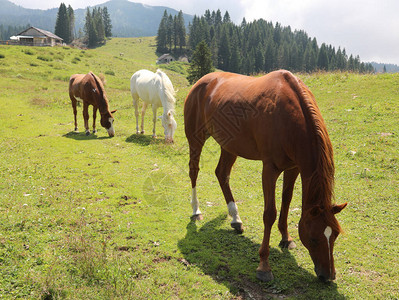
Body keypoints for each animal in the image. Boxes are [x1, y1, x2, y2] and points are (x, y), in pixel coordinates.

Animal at [186, 71, 348, 284]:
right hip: (196, 139)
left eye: (335, 235)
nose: (328, 275)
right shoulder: (270, 169)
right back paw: (196, 210)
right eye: (313, 238)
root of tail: (203, 80)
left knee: (222, 174)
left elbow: (286, 202)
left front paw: (286, 238)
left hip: (229, 146)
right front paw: (264, 265)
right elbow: (269, 213)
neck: (287, 117)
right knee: (194, 171)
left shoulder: (294, 168)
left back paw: (236, 219)